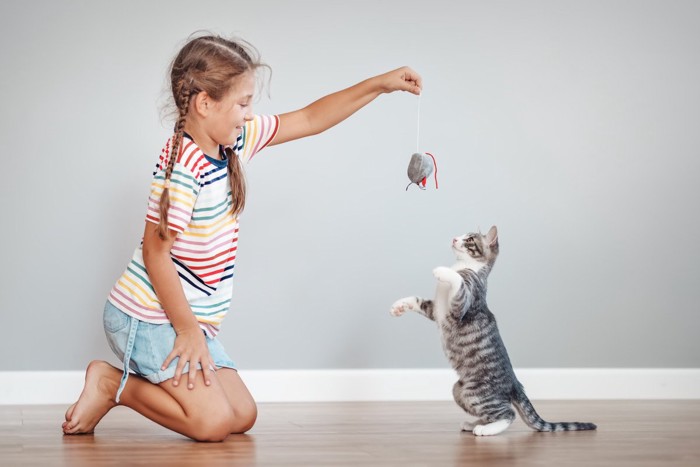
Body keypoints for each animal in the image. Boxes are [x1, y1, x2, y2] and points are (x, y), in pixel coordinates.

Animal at [388, 228, 596, 438]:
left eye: (469, 239)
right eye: (462, 234)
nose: (454, 239)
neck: (463, 265)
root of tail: (515, 384)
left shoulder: (460, 306)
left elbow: (459, 281)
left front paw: (442, 271)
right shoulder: (436, 310)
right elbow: (417, 300)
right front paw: (399, 306)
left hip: (477, 393)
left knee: (508, 414)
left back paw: (486, 430)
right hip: (459, 390)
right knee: (492, 414)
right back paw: (474, 423)